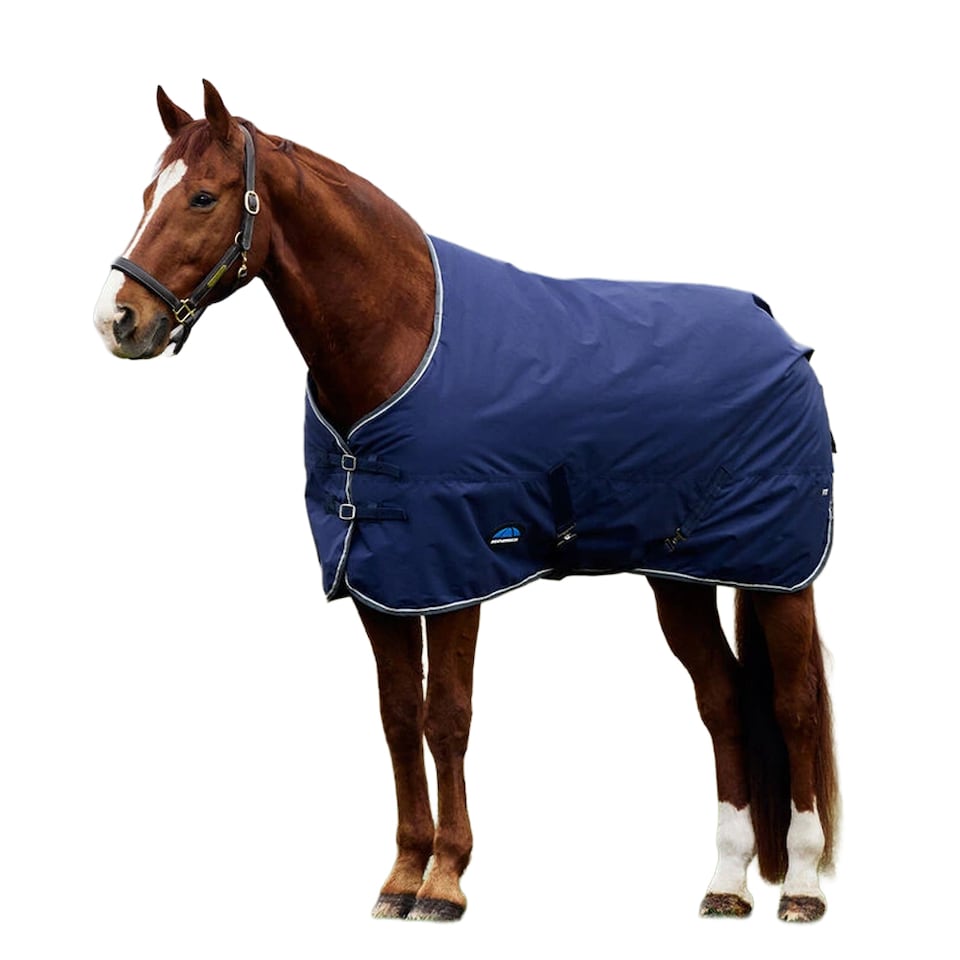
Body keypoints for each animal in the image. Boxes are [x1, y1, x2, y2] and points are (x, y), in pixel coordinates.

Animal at [93, 81, 838, 924]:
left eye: (203, 196)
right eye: (147, 194)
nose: (117, 320)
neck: (400, 341)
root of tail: (781, 338)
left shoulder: (455, 573)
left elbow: (446, 715)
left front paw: (445, 881)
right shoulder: (377, 579)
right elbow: (397, 717)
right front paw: (401, 875)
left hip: (782, 572)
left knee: (794, 704)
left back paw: (801, 886)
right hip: (680, 578)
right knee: (723, 700)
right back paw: (725, 883)